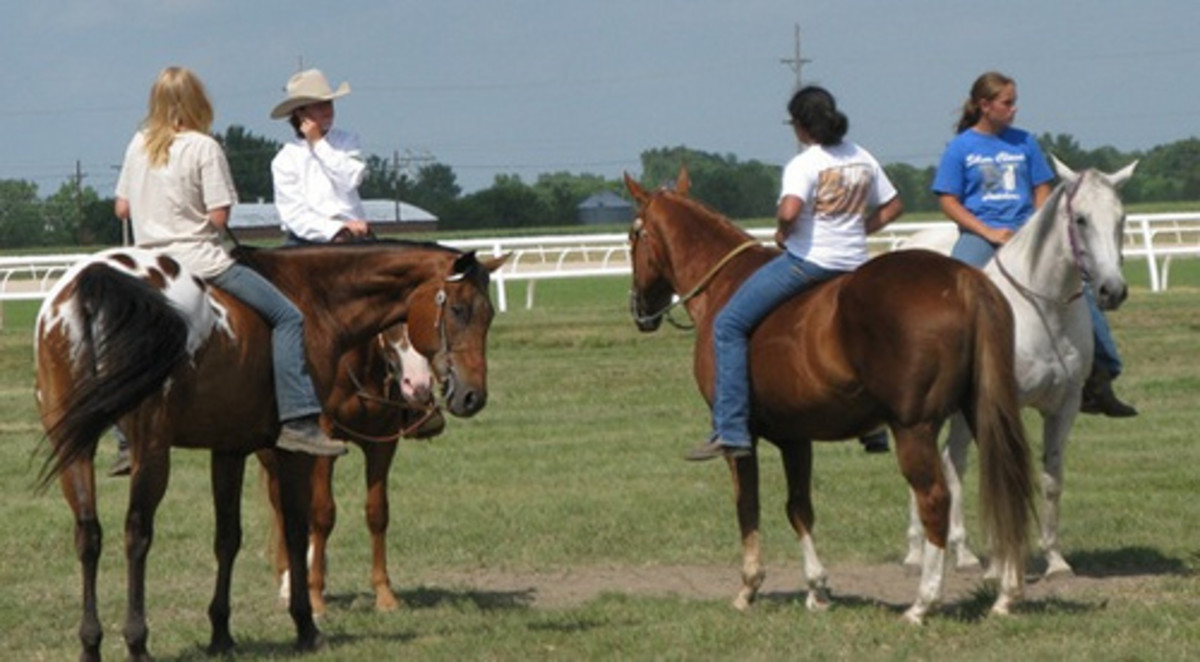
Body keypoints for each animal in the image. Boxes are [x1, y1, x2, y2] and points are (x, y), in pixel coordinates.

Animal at [257, 320, 447, 615]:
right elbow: (323, 514)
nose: (418, 386)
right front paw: (315, 596)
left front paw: (384, 594)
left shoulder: (383, 444)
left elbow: (377, 513)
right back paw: (288, 582)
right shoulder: (324, 443)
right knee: (281, 507)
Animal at [624, 169, 1035, 624]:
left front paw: (749, 586)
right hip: (982, 412)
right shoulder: (795, 437)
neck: (724, 287)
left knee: (935, 500)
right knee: (1011, 483)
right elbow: (799, 507)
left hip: (914, 428)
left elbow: (748, 505)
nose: (640, 310)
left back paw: (922, 603)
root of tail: (962, 281)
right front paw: (816, 589)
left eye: (632, 235)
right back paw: (1006, 594)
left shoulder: (740, 438)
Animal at [901, 157, 1137, 577]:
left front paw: (1055, 559)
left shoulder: (1065, 407)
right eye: (1080, 219)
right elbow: (1002, 472)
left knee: (948, 462)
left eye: (1121, 218)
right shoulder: (998, 405)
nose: (1112, 290)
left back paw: (953, 549)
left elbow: (1052, 478)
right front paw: (1001, 562)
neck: (1041, 309)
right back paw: (924, 552)